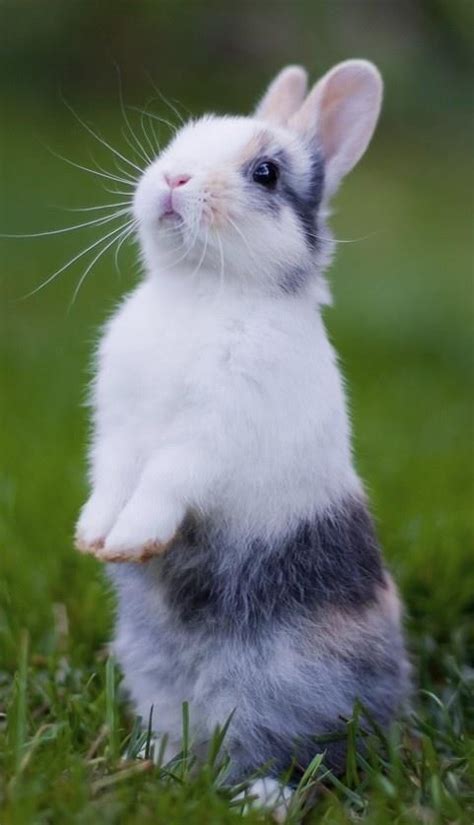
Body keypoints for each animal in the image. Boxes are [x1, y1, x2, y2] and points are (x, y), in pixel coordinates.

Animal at [76, 62, 410, 812]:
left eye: (265, 172)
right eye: (179, 141)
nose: (174, 179)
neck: (202, 288)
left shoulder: (208, 438)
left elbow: (162, 481)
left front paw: (134, 539)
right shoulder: (117, 430)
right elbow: (111, 480)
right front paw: (95, 539)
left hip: (277, 686)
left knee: (295, 753)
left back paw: (260, 797)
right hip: (157, 679)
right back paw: (150, 761)